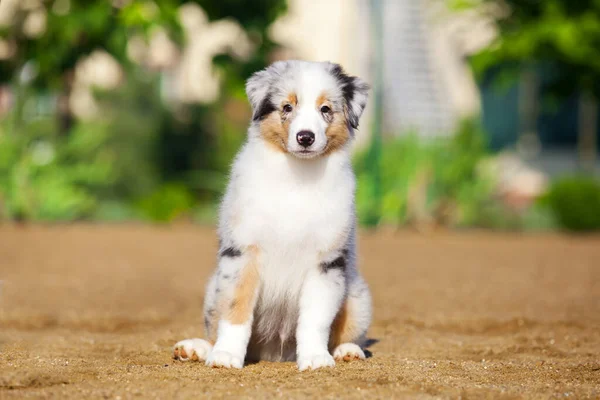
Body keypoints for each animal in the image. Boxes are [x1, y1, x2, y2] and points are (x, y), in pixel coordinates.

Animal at [172, 60, 370, 372]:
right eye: (287, 107)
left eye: (325, 109)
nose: (305, 137)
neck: (297, 176)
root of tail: (273, 351)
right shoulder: (242, 251)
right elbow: (236, 310)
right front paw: (226, 355)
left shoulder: (326, 262)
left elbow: (315, 319)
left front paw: (315, 358)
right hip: (213, 288)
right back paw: (197, 348)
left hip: (358, 296)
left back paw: (346, 350)